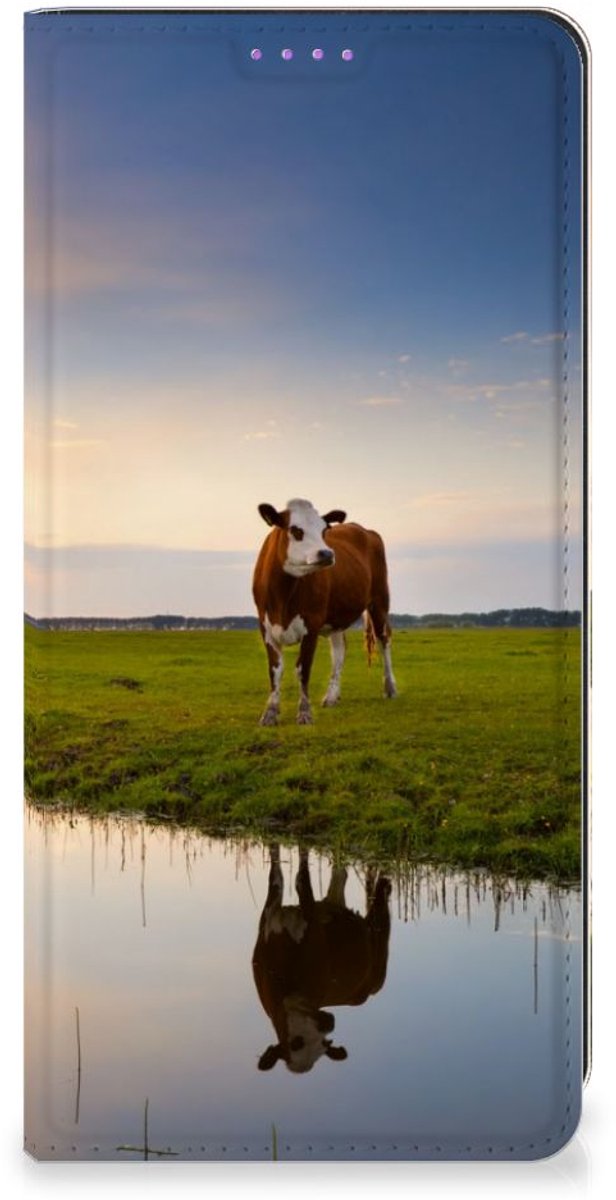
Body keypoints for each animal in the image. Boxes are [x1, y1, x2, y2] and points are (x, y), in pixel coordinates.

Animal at [252, 498, 397, 725]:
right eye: (295, 530)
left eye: (323, 530)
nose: (327, 553)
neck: (283, 595)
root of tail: (364, 530)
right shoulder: (266, 627)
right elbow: (275, 670)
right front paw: (270, 713)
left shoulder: (311, 625)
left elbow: (303, 669)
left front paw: (304, 713)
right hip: (336, 617)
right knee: (339, 650)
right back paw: (331, 696)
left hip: (379, 600)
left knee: (384, 639)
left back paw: (390, 687)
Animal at [252, 846, 391, 1073]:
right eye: (295, 1043)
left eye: (324, 1044)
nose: (329, 1023)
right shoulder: (269, 917)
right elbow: (276, 873)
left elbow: (301, 879)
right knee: (340, 874)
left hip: (379, 953)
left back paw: (385, 884)